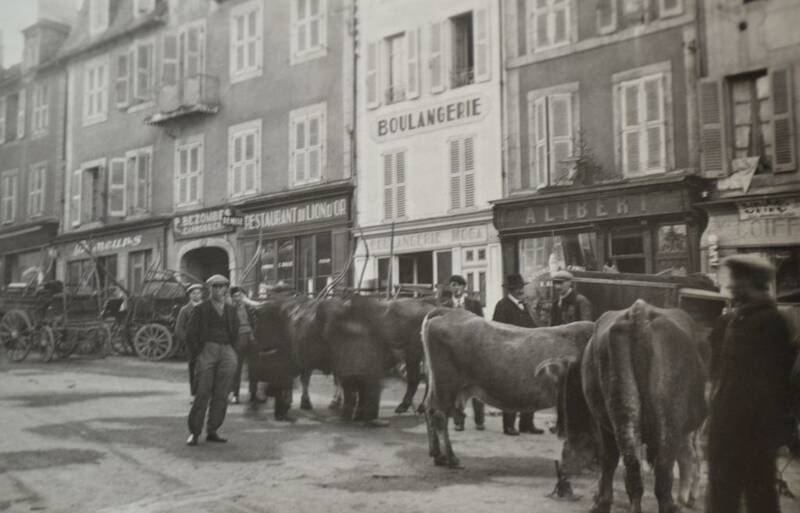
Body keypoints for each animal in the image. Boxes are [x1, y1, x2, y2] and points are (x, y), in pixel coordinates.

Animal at [418, 308, 592, 468]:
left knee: (429, 409)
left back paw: (437, 454)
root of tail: (448, 311)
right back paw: (450, 458)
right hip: (446, 386)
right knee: (439, 415)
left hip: (439, 386)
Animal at [560, 298, 708, 512]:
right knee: (663, 472)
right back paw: (676, 503)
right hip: (668, 421)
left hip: (623, 416)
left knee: (631, 469)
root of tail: (640, 312)